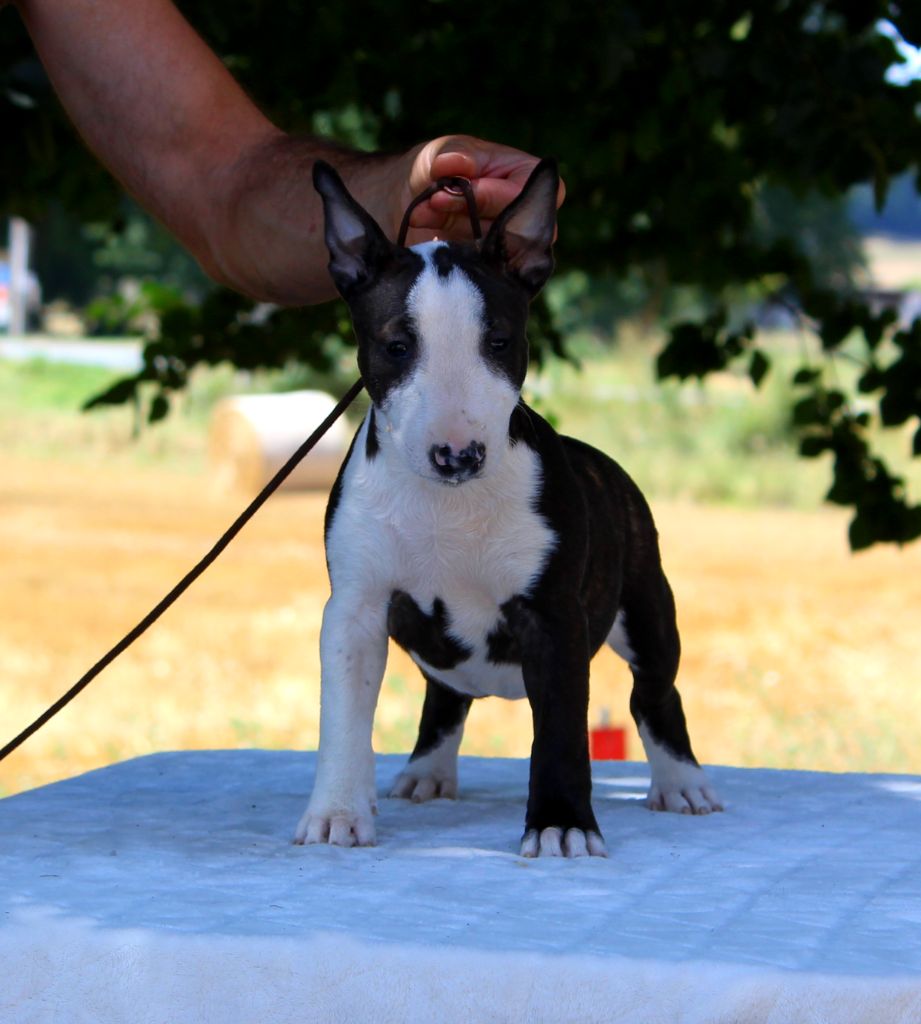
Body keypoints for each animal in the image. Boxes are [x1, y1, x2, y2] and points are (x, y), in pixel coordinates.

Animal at [295, 157, 721, 856]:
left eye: (498, 342)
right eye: (396, 346)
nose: (458, 455)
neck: (447, 505)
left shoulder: (553, 618)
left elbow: (562, 735)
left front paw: (561, 825)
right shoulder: (355, 609)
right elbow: (344, 723)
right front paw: (336, 814)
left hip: (647, 607)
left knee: (654, 692)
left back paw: (682, 782)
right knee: (445, 696)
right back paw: (427, 771)